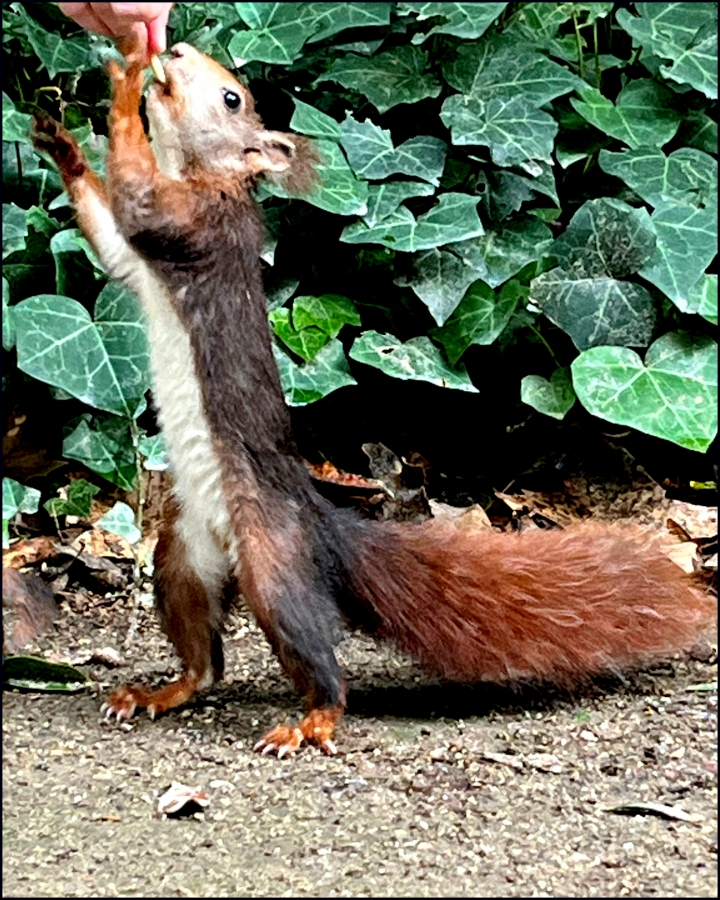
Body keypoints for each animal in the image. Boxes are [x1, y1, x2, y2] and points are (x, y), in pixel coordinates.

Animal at [32, 42, 716, 760]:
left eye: (231, 99)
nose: (178, 49)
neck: (202, 175)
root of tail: (317, 523)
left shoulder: (195, 226)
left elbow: (137, 195)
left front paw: (125, 85)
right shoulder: (137, 263)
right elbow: (109, 235)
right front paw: (59, 140)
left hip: (272, 564)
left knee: (318, 660)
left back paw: (312, 720)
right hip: (182, 556)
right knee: (204, 662)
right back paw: (160, 692)